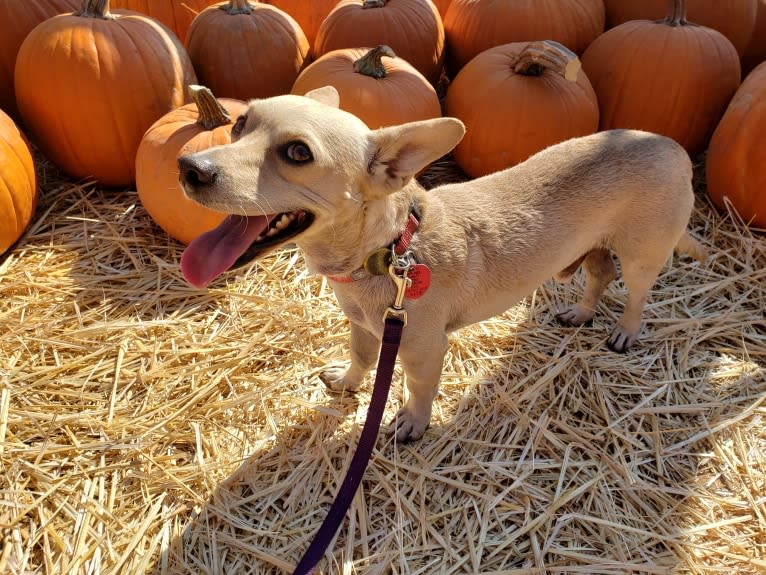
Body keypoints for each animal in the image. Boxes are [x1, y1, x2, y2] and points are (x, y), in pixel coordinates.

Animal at [178, 85, 708, 444]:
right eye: (239, 124)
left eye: (297, 153)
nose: (189, 167)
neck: (388, 250)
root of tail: (674, 148)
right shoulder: (362, 326)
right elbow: (361, 358)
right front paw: (347, 383)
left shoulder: (423, 348)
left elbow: (418, 388)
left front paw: (412, 422)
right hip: (594, 247)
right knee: (600, 275)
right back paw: (580, 313)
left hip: (643, 254)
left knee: (636, 293)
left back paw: (625, 331)